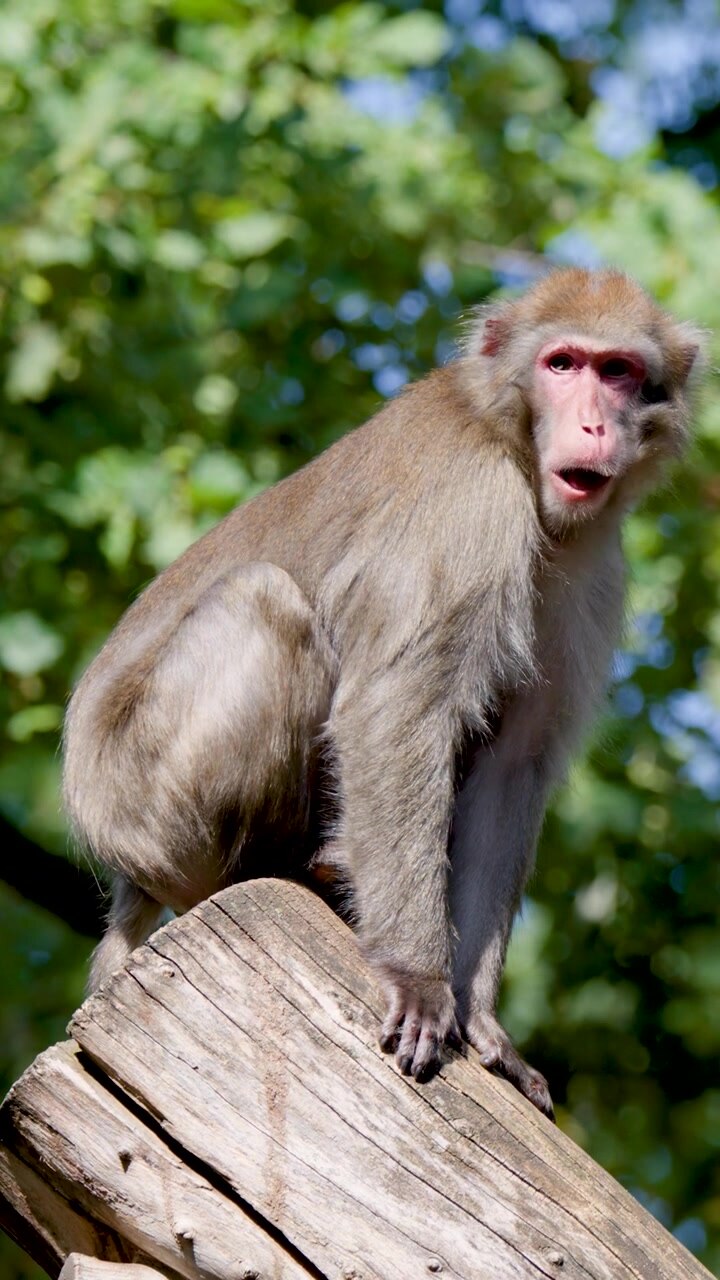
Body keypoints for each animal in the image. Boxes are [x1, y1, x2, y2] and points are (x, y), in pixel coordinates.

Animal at [63, 268, 700, 1118]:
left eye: (620, 371)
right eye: (563, 364)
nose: (595, 423)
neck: (509, 442)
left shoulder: (593, 572)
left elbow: (513, 766)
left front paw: (482, 1020)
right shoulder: (468, 500)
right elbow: (399, 709)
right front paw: (417, 978)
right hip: (144, 804)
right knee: (264, 604)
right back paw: (290, 868)